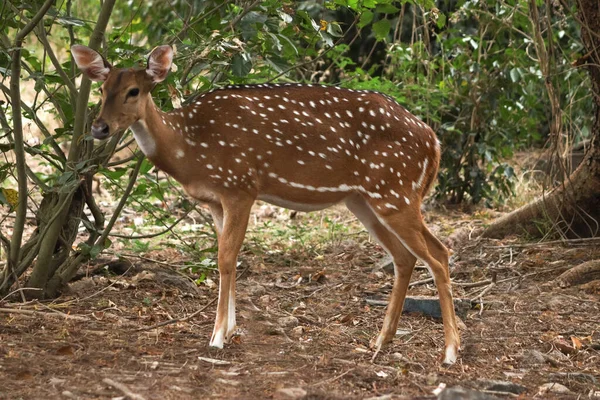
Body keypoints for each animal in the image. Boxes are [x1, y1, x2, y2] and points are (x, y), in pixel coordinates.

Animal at [72, 44, 462, 366]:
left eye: (134, 91)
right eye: (102, 90)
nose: (100, 128)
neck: (189, 150)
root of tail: (434, 142)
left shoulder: (241, 186)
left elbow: (226, 258)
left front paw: (217, 337)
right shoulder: (216, 200)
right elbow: (228, 259)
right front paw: (229, 330)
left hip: (395, 190)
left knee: (439, 253)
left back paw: (450, 352)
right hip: (365, 199)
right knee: (405, 256)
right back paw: (381, 341)